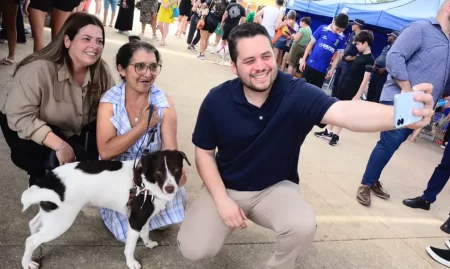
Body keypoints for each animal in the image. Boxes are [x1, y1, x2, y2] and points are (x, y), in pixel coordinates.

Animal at [19, 150, 190, 266]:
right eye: (159, 171)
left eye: (176, 169)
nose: (170, 188)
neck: (146, 180)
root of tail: (51, 178)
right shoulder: (135, 220)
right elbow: (130, 246)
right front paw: (131, 262)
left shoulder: (144, 216)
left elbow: (146, 232)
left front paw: (148, 244)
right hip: (61, 221)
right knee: (30, 241)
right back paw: (27, 262)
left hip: (51, 212)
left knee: (33, 224)